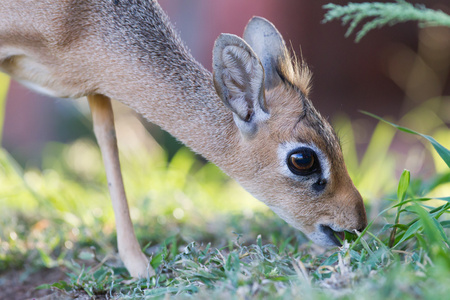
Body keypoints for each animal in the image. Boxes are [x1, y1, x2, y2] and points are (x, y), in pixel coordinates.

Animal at [0, 0, 368, 278]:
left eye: (335, 139)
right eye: (302, 159)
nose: (358, 223)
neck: (79, 20)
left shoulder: (96, 85)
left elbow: (108, 139)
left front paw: (139, 267)